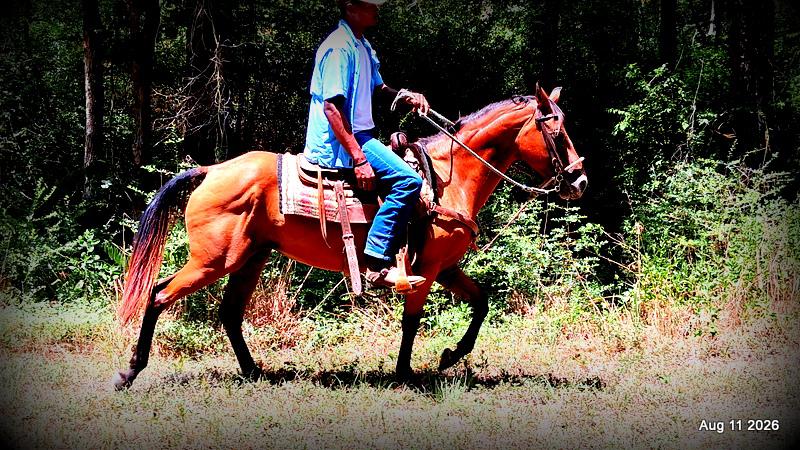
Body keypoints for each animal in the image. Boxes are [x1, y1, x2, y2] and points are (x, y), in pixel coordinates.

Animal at [112, 85, 587, 389]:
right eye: (555, 131)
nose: (579, 181)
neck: (447, 179)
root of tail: (211, 170)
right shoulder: (427, 270)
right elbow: (412, 321)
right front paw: (405, 374)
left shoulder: (446, 267)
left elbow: (482, 301)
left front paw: (451, 355)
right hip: (214, 260)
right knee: (158, 295)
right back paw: (130, 372)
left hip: (250, 259)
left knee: (229, 313)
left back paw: (254, 373)